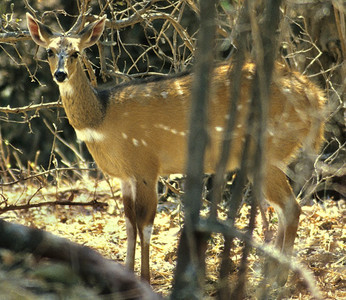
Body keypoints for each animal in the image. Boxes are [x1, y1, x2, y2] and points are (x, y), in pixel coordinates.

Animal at [26, 12, 324, 284]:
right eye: (50, 51)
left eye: (76, 53)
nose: (60, 74)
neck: (103, 119)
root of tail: (314, 96)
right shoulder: (125, 176)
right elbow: (129, 224)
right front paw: (126, 273)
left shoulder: (146, 167)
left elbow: (145, 225)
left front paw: (145, 279)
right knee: (284, 209)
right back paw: (271, 275)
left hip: (267, 152)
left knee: (291, 208)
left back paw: (278, 280)